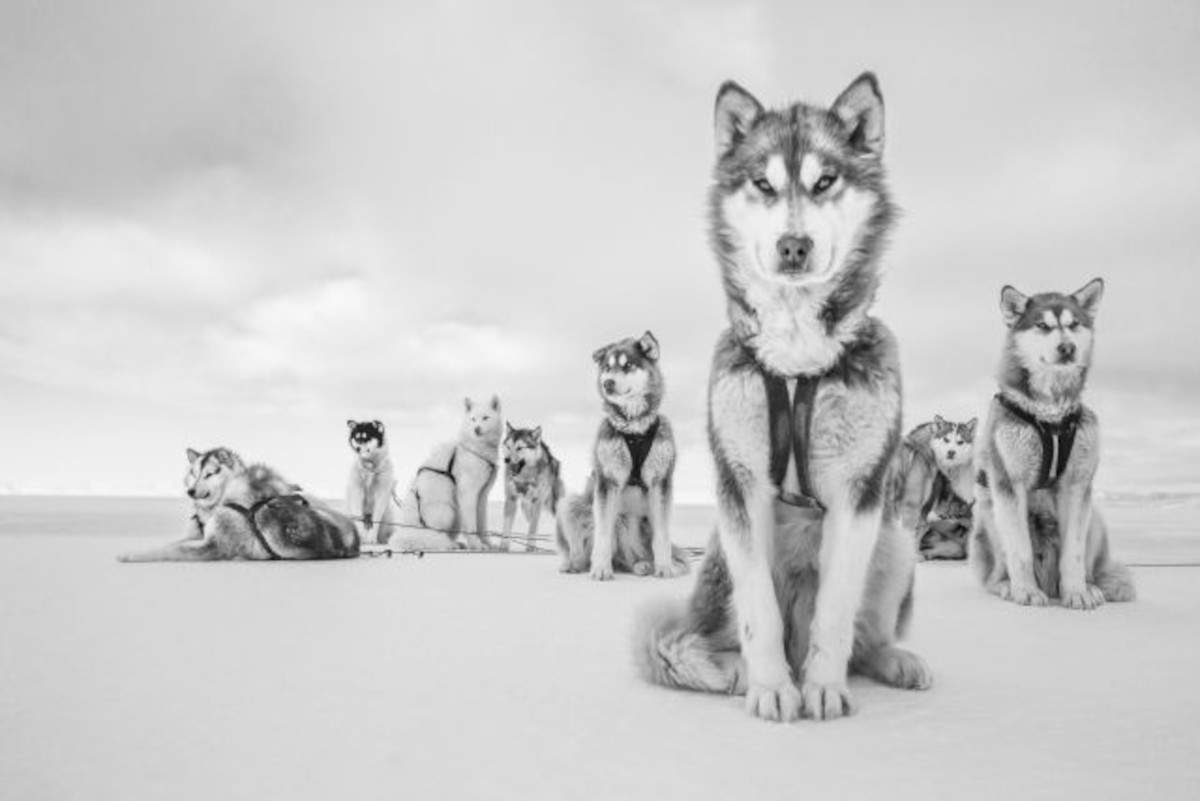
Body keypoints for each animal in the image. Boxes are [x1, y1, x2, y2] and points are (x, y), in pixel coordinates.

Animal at [118, 443, 357, 563]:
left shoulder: (213, 546)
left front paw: (132, 554)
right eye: (193, 473)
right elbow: (173, 543)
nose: (190, 491)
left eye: (209, 474)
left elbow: (169, 550)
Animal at [396, 395, 504, 551]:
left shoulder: (482, 496)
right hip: (447, 511)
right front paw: (476, 544)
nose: (476, 429)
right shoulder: (468, 493)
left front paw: (487, 544)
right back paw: (449, 544)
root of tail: (409, 529)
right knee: (436, 536)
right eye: (472, 419)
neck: (475, 450)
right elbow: (471, 526)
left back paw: (457, 543)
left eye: (485, 418)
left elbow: (482, 524)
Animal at [554, 333, 691, 582]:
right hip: (570, 505)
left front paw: (664, 566)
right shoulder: (608, 480)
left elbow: (663, 535)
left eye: (627, 366)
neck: (635, 430)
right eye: (608, 368)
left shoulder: (661, 481)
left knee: (633, 556)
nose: (607, 383)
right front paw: (600, 568)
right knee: (583, 549)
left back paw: (643, 565)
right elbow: (602, 535)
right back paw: (574, 564)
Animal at [638, 74, 926, 724]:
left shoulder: (859, 493)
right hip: (720, 558)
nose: (794, 246)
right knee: (712, 634)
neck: (797, 360)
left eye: (825, 181)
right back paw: (734, 668)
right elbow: (758, 612)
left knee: (865, 636)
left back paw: (891, 659)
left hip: (897, 543)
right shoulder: (741, 486)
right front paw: (771, 686)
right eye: (763, 184)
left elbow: (837, 612)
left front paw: (821, 686)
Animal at [964, 280, 1132, 606]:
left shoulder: (1076, 485)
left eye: (1073, 324)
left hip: (1095, 519)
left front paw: (1077, 592)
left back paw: (1090, 586)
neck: (1050, 415)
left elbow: (1074, 554)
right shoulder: (1009, 484)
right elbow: (1020, 551)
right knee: (995, 571)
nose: (1067, 348)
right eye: (1042, 326)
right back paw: (1006, 585)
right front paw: (1026, 591)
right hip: (989, 516)